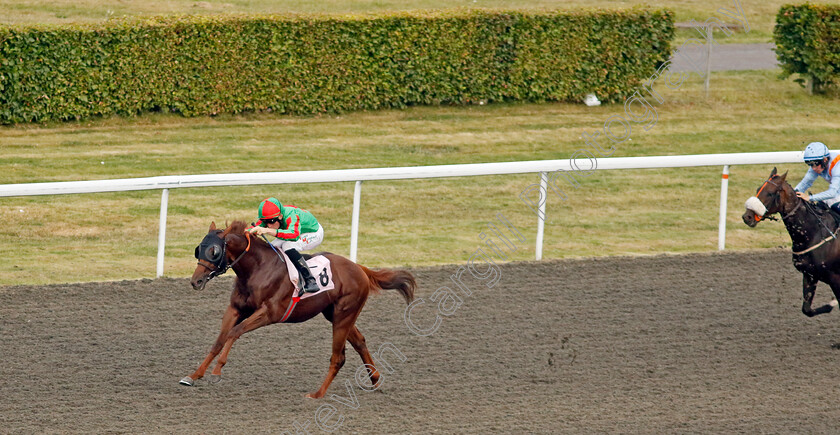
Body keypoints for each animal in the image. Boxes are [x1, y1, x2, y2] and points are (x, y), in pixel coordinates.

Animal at [185, 221, 418, 398]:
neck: (258, 268)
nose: (196, 281)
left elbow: (235, 332)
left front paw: (216, 371)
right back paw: (375, 379)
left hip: (344, 314)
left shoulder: (270, 313)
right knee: (360, 342)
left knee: (338, 357)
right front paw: (194, 375)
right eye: (199, 249)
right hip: (335, 314)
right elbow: (219, 341)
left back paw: (317, 394)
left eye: (214, 251)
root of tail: (359, 268)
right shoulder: (235, 309)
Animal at [740, 169, 840, 318]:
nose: (747, 217)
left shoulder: (835, 278)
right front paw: (830, 304)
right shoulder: (810, 275)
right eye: (758, 189)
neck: (815, 232)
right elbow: (807, 310)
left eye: (770, 193)